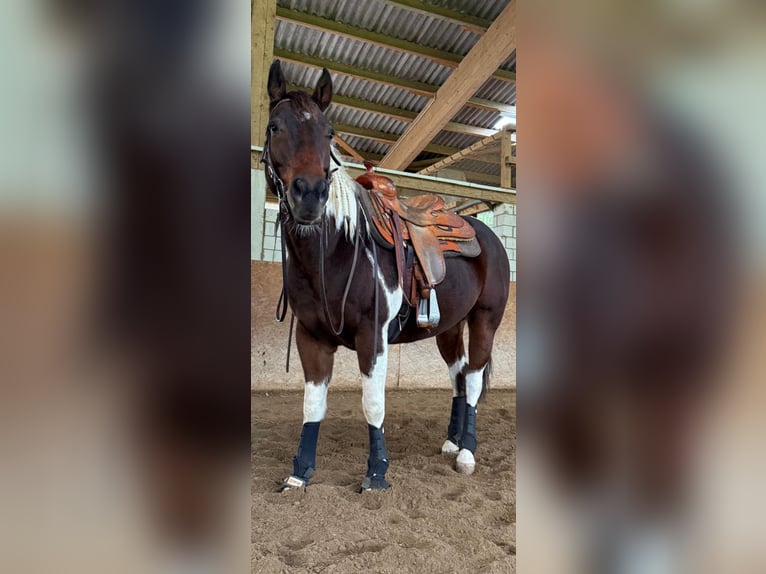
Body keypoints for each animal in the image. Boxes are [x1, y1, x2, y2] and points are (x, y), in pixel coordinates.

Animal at [261, 60, 510, 491]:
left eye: (328, 133)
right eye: (274, 126)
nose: (310, 195)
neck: (337, 249)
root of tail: (487, 235)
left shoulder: (371, 335)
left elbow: (373, 402)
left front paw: (376, 472)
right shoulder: (310, 337)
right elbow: (312, 405)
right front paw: (299, 473)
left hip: (485, 321)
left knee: (475, 379)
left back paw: (466, 452)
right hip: (448, 327)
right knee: (459, 376)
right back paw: (451, 440)